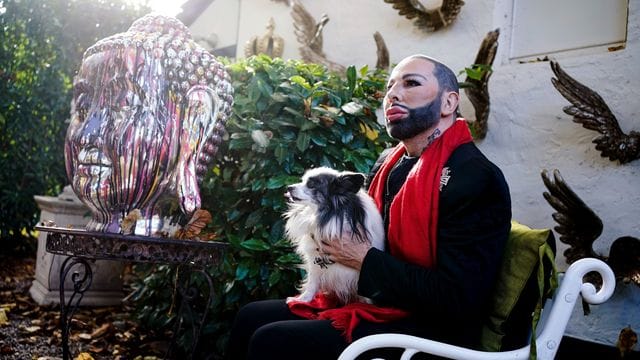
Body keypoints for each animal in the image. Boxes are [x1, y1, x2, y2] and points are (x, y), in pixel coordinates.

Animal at [286, 167, 384, 306]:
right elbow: (312, 282)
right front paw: (303, 300)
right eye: (302, 180)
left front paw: (367, 304)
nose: (289, 187)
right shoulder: (315, 262)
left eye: (311, 185)